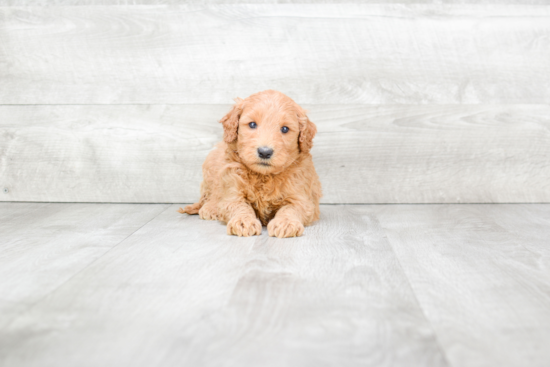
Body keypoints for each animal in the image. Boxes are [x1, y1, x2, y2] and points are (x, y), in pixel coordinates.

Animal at [179, 90, 322, 239]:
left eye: (284, 129)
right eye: (252, 125)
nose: (264, 152)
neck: (264, 176)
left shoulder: (302, 197)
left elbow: (291, 208)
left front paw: (285, 223)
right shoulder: (232, 189)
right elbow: (240, 206)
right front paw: (243, 221)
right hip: (212, 165)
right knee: (212, 193)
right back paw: (211, 208)